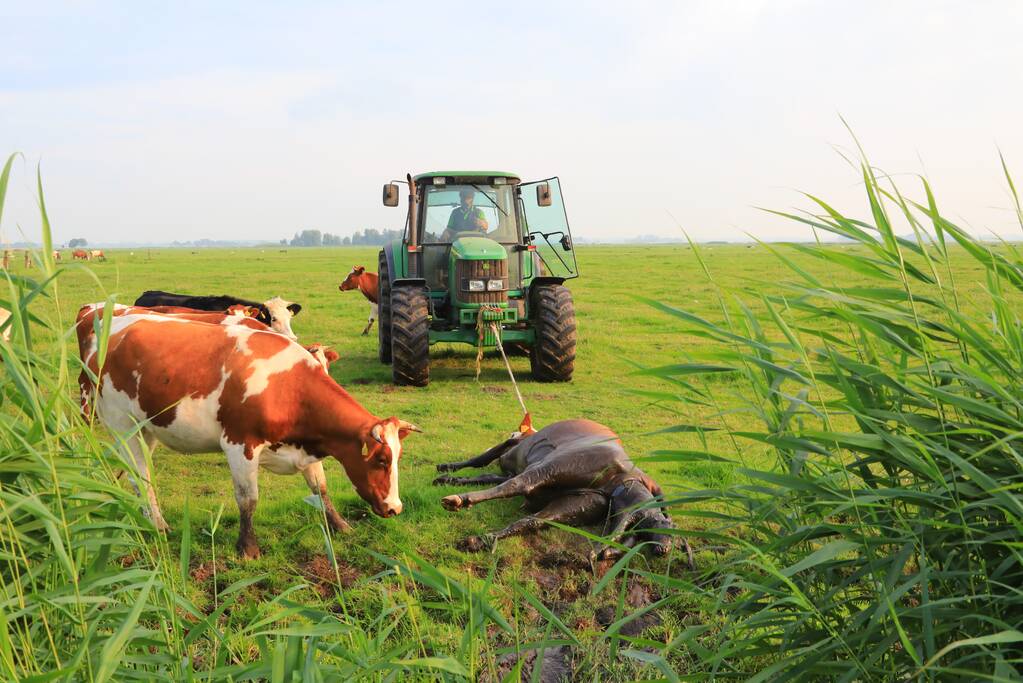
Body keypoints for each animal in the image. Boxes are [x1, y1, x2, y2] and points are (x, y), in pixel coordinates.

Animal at [74, 306, 419, 556]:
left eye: (397, 458)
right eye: (381, 461)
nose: (396, 508)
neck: (289, 387)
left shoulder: (306, 448)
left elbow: (320, 489)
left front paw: (341, 526)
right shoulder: (240, 445)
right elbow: (248, 499)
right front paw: (248, 548)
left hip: (148, 429)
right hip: (123, 425)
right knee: (139, 475)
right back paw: (158, 526)